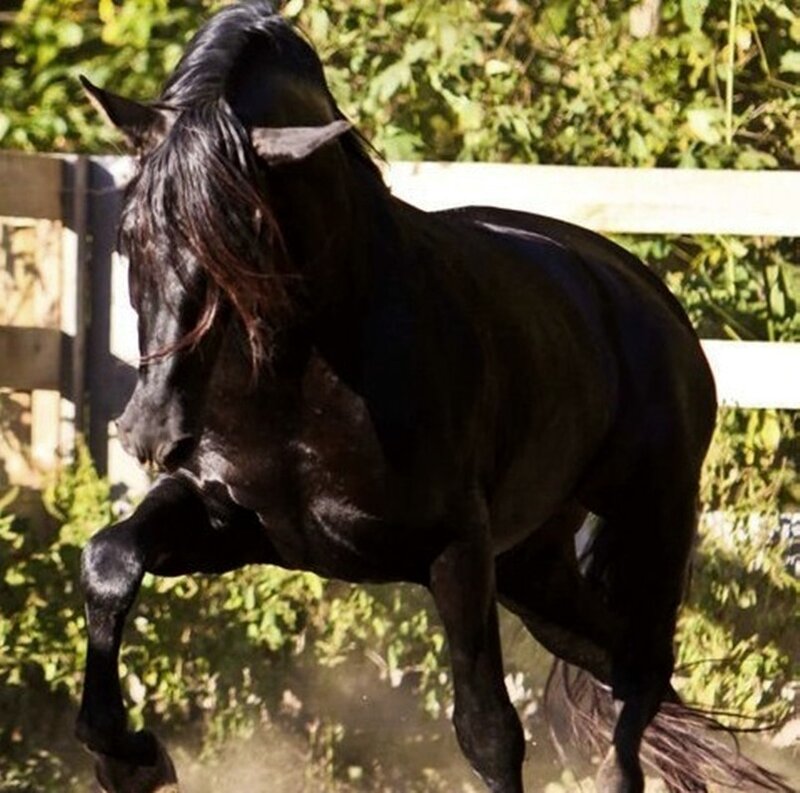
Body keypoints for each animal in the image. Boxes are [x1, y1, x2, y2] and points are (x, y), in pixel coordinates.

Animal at [74, 3, 787, 792]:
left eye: (244, 242)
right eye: (131, 232)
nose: (149, 431)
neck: (303, 378)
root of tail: (645, 295)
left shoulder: (456, 552)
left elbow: (487, 732)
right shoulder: (236, 525)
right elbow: (109, 559)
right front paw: (127, 755)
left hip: (651, 522)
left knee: (642, 669)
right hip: (534, 570)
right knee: (618, 665)